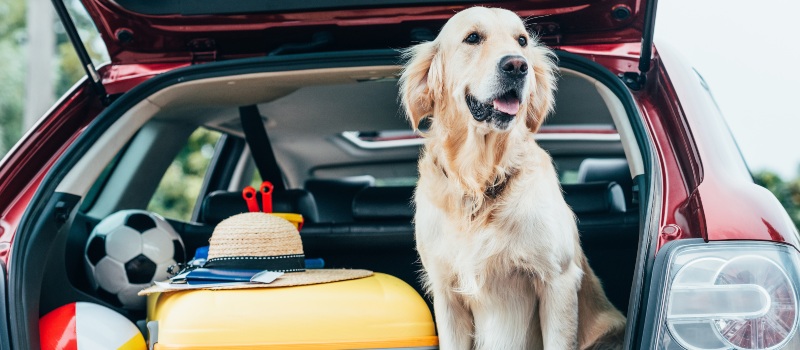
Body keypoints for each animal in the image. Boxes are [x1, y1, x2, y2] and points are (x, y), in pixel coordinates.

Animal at [400, 6, 624, 350]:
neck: (480, 182)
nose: (517, 65)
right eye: (473, 38)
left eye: (522, 41)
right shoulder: (447, 293)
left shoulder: (557, 281)